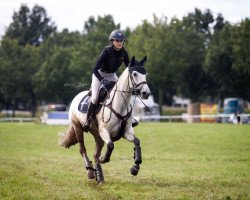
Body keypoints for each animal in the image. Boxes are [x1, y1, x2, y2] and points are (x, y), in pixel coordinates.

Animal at [59, 55, 150, 184]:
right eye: (135, 74)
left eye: (145, 73)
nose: (146, 93)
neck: (119, 104)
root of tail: (76, 97)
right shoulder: (104, 131)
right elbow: (111, 145)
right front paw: (104, 159)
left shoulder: (126, 132)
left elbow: (137, 142)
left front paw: (135, 167)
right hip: (78, 128)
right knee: (83, 150)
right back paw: (90, 172)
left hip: (97, 135)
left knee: (95, 154)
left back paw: (99, 176)